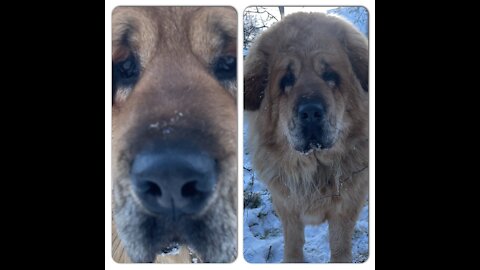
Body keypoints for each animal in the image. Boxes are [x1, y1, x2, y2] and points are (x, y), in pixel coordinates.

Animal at [244, 11, 368, 262]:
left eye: (330, 75)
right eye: (286, 80)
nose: (311, 112)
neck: (316, 171)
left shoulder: (345, 208)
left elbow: (339, 247)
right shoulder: (287, 206)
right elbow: (293, 243)